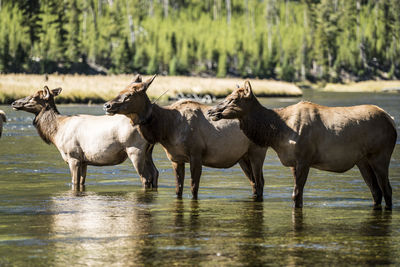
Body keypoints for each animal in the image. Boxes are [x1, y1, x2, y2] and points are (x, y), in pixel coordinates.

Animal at [10, 86, 158, 188]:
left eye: (33, 96)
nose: (14, 103)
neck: (57, 133)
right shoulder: (84, 161)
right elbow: (81, 182)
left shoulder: (73, 156)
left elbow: (74, 182)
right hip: (148, 151)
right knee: (155, 173)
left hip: (135, 150)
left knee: (145, 178)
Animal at [103, 75, 268, 199]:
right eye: (120, 90)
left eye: (129, 95)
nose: (107, 105)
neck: (166, 128)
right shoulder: (176, 158)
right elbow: (178, 189)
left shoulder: (196, 154)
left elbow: (194, 188)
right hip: (242, 157)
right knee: (254, 183)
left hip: (257, 152)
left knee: (260, 182)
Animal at [209, 80, 396, 210]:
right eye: (226, 96)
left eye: (233, 99)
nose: (211, 111)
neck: (277, 133)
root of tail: (391, 120)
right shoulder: (293, 162)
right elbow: (298, 196)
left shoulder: (304, 159)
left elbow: (296, 194)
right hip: (362, 160)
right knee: (376, 191)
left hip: (380, 155)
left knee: (387, 189)